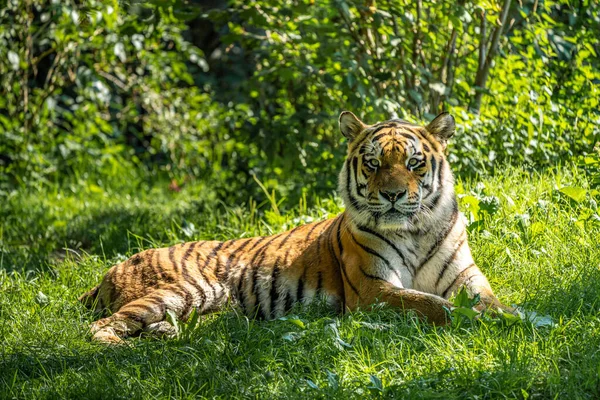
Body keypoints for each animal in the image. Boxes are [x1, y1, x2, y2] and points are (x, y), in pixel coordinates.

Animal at [79, 111, 510, 344]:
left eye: (414, 163)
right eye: (373, 164)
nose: (392, 195)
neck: (416, 230)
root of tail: (113, 268)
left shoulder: (466, 277)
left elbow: (487, 300)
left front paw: (510, 314)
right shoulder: (373, 289)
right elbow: (432, 304)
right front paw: (481, 321)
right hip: (190, 288)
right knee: (100, 327)